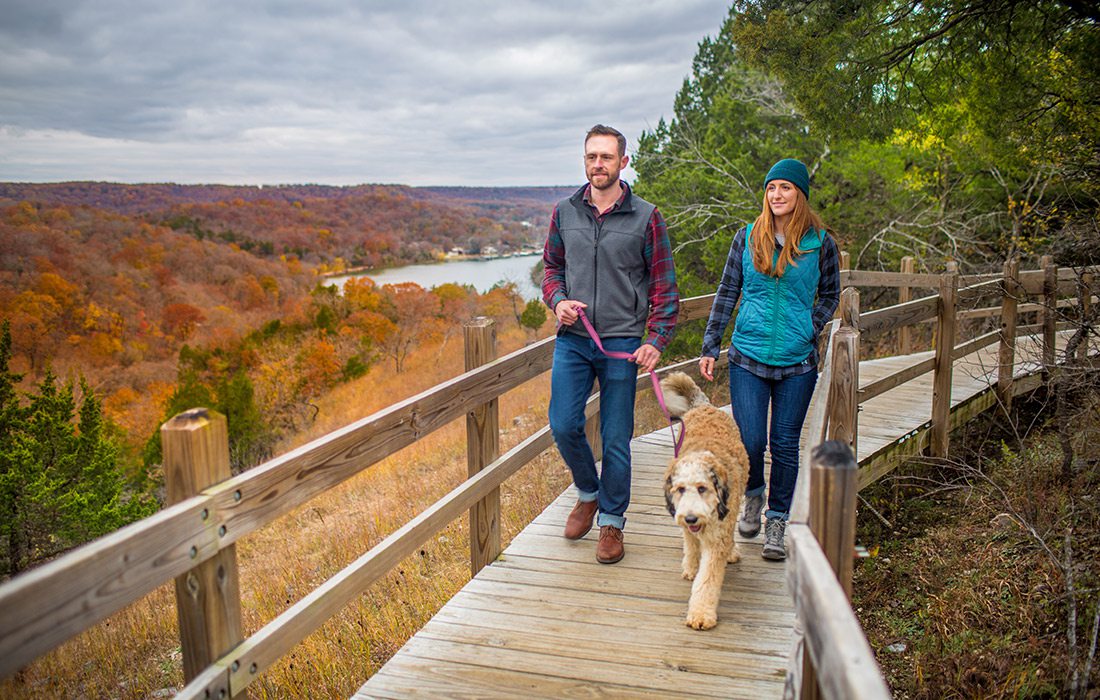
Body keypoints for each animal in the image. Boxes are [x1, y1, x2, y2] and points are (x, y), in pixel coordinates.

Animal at [655, 372, 752, 629]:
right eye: (680, 489)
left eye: (702, 488)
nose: (690, 518)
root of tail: (703, 405)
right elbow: (690, 541)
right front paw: (691, 566)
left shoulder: (719, 533)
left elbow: (708, 579)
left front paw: (700, 614)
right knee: (689, 539)